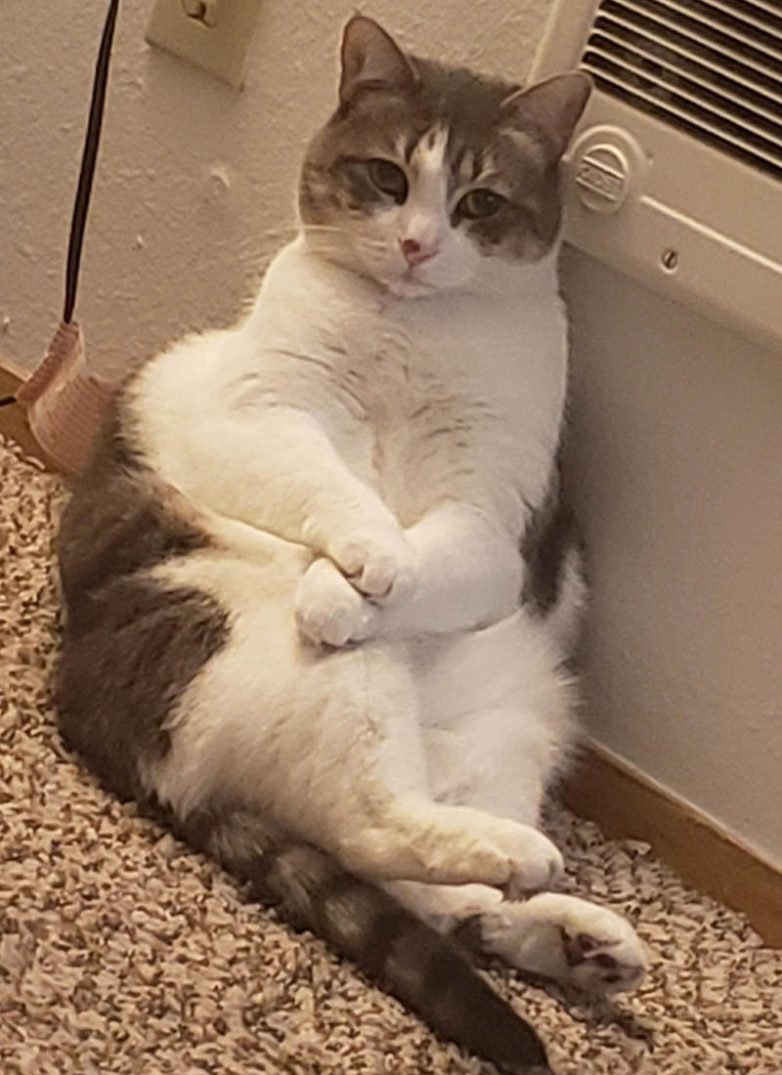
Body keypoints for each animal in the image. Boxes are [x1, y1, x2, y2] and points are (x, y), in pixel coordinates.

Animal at [55, 16, 647, 1075]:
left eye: (478, 201)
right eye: (385, 177)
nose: (415, 243)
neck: (414, 329)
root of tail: (81, 690)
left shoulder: (491, 514)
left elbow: (444, 557)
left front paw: (370, 582)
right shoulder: (258, 417)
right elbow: (335, 489)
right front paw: (354, 573)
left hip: (519, 721)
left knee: (435, 897)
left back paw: (576, 935)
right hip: (298, 657)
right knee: (373, 831)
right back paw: (528, 868)